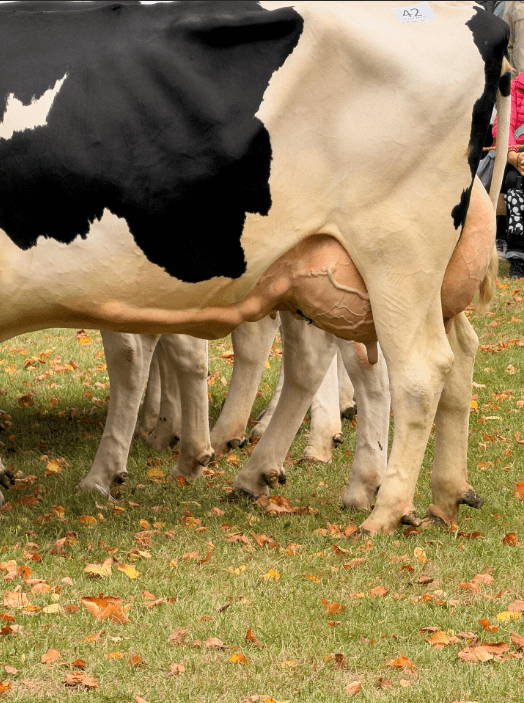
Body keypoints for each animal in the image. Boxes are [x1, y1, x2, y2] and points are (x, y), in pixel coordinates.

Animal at [0, 1, 510, 533]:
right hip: (345, 274)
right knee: (434, 358)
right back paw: (432, 494)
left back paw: (381, 509)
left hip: (396, 259)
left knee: (417, 372)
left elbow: (150, 356)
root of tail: (478, 15)